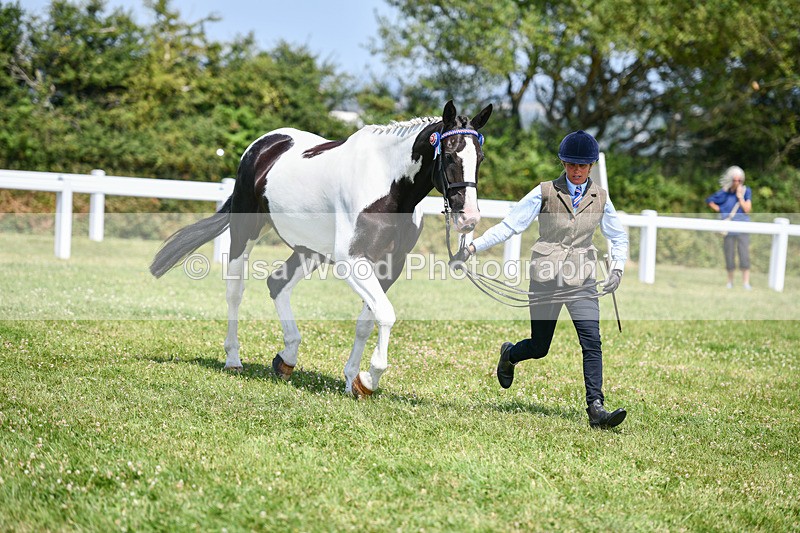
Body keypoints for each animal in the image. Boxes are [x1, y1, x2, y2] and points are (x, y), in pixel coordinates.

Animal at [150, 100, 493, 398]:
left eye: (480, 158)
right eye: (450, 156)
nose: (469, 218)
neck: (388, 185)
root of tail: (263, 145)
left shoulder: (389, 265)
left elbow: (367, 321)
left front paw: (353, 381)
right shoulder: (352, 261)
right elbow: (385, 314)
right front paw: (369, 378)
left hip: (309, 249)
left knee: (277, 283)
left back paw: (286, 359)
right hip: (245, 232)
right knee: (235, 291)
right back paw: (234, 359)